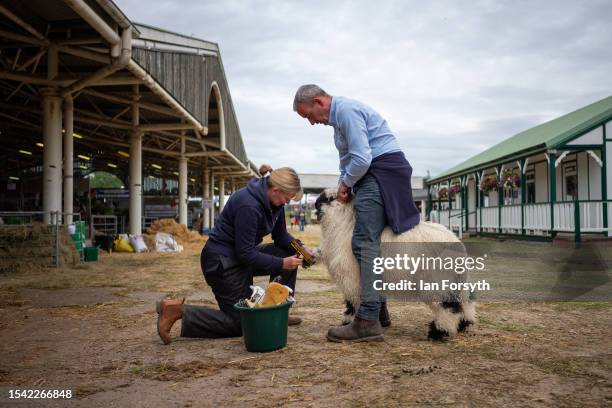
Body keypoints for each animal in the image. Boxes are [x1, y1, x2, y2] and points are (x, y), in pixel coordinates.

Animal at [316, 190, 478, 340]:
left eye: (329, 198)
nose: (315, 204)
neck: (344, 224)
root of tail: (457, 244)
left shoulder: (351, 277)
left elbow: (352, 301)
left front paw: (348, 322)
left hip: (436, 280)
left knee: (448, 306)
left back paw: (438, 332)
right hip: (457, 279)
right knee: (465, 302)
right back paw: (464, 324)